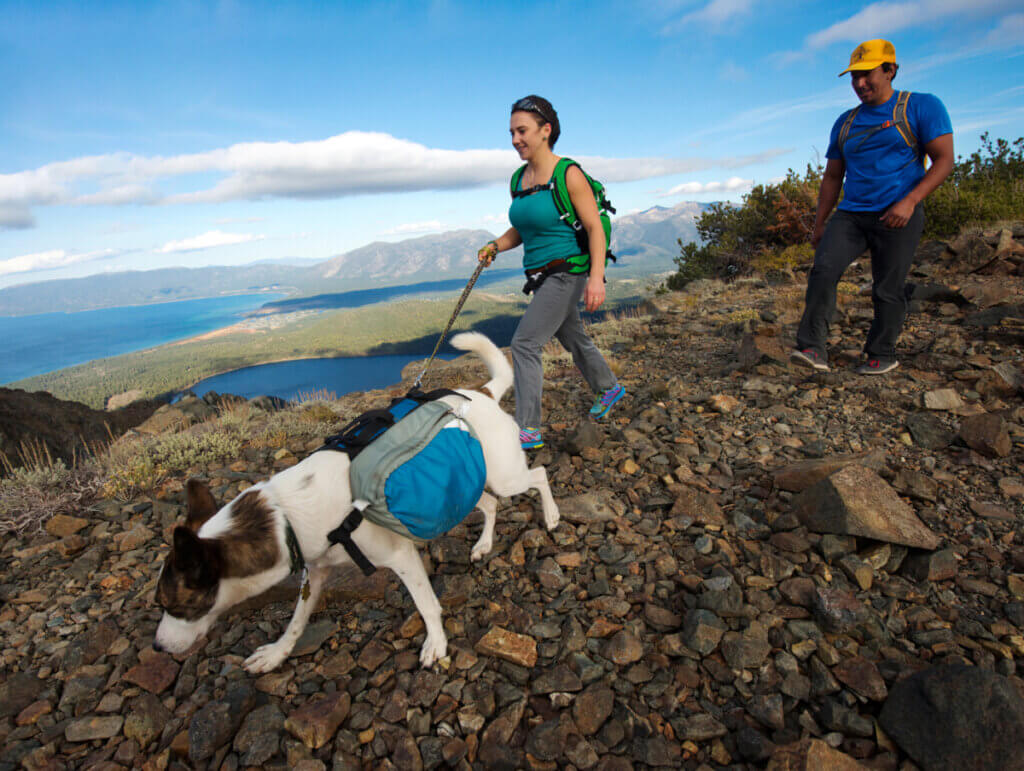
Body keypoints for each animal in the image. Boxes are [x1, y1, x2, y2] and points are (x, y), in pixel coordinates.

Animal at [151, 331, 561, 671]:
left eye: (175, 605)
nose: (157, 647)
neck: (283, 519)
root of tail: (483, 392)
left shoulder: (400, 557)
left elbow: (427, 605)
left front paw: (436, 644)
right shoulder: (315, 573)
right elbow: (296, 621)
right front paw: (277, 654)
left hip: (504, 476)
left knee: (538, 476)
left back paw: (552, 515)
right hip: (465, 483)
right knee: (490, 505)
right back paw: (483, 545)